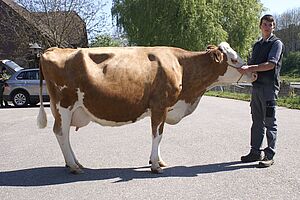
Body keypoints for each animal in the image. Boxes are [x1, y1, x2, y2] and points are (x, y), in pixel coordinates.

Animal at [37, 41, 258, 173]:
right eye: (234, 59)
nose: (254, 73)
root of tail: (53, 49)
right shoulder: (160, 105)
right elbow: (157, 135)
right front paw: (155, 165)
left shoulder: (162, 108)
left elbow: (159, 135)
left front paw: (157, 161)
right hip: (64, 105)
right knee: (61, 133)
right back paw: (74, 166)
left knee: (64, 134)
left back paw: (75, 163)